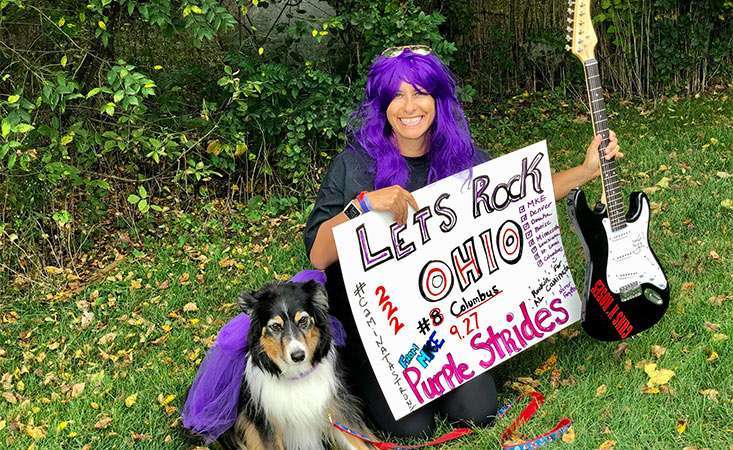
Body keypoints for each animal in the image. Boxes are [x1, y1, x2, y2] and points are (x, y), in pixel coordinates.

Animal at [219, 282, 374, 450]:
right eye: (275, 326)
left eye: (303, 320)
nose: (299, 356)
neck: (297, 376)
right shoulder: (265, 425)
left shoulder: (338, 410)